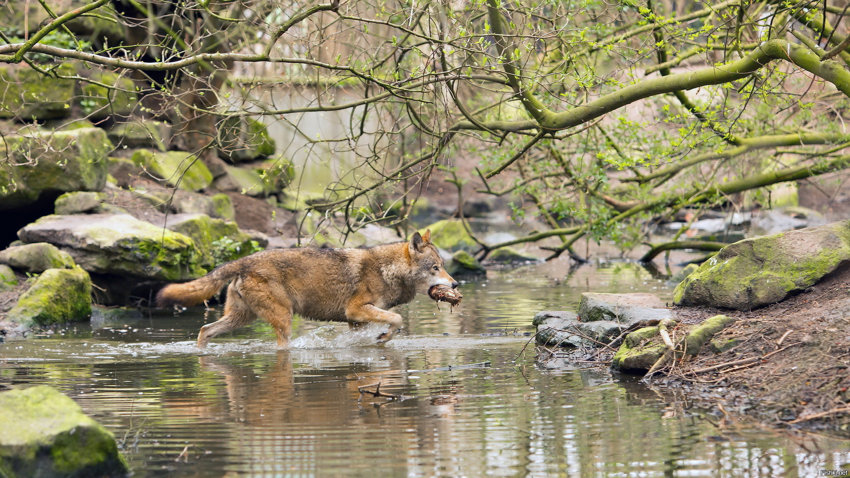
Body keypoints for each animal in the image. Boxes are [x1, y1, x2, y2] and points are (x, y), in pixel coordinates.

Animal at [154, 231, 458, 348]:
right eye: (435, 268)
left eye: (443, 266)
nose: (455, 284)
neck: (387, 270)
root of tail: (244, 260)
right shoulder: (355, 310)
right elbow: (397, 318)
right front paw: (384, 336)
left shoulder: (356, 321)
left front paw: (381, 338)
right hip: (283, 318)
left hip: (239, 318)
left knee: (204, 330)